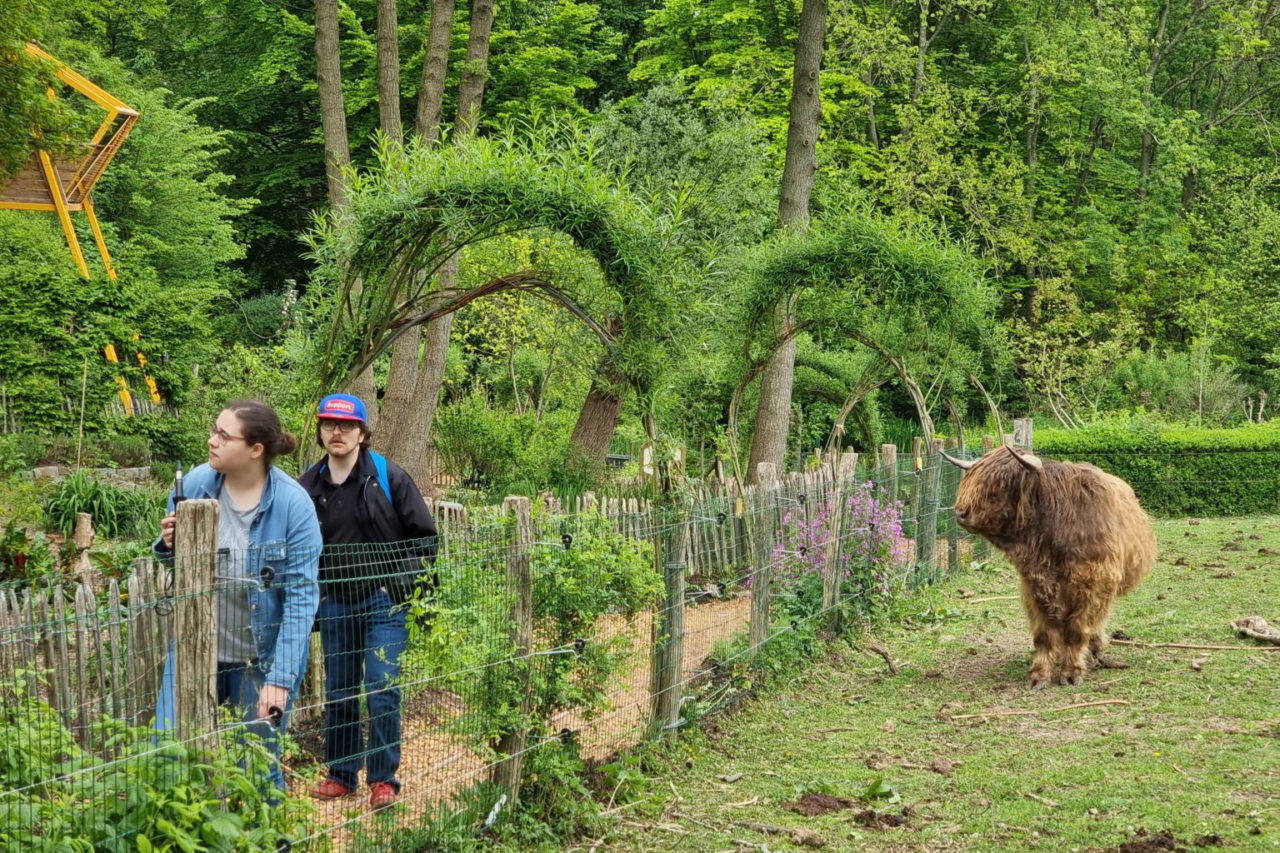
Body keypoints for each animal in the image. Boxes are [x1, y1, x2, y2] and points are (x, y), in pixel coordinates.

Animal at [942, 440, 1162, 686]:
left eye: (997, 488)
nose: (961, 513)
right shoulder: (1034, 586)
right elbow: (1044, 635)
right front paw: (1039, 675)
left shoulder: (1095, 583)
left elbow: (1077, 630)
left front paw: (1072, 672)